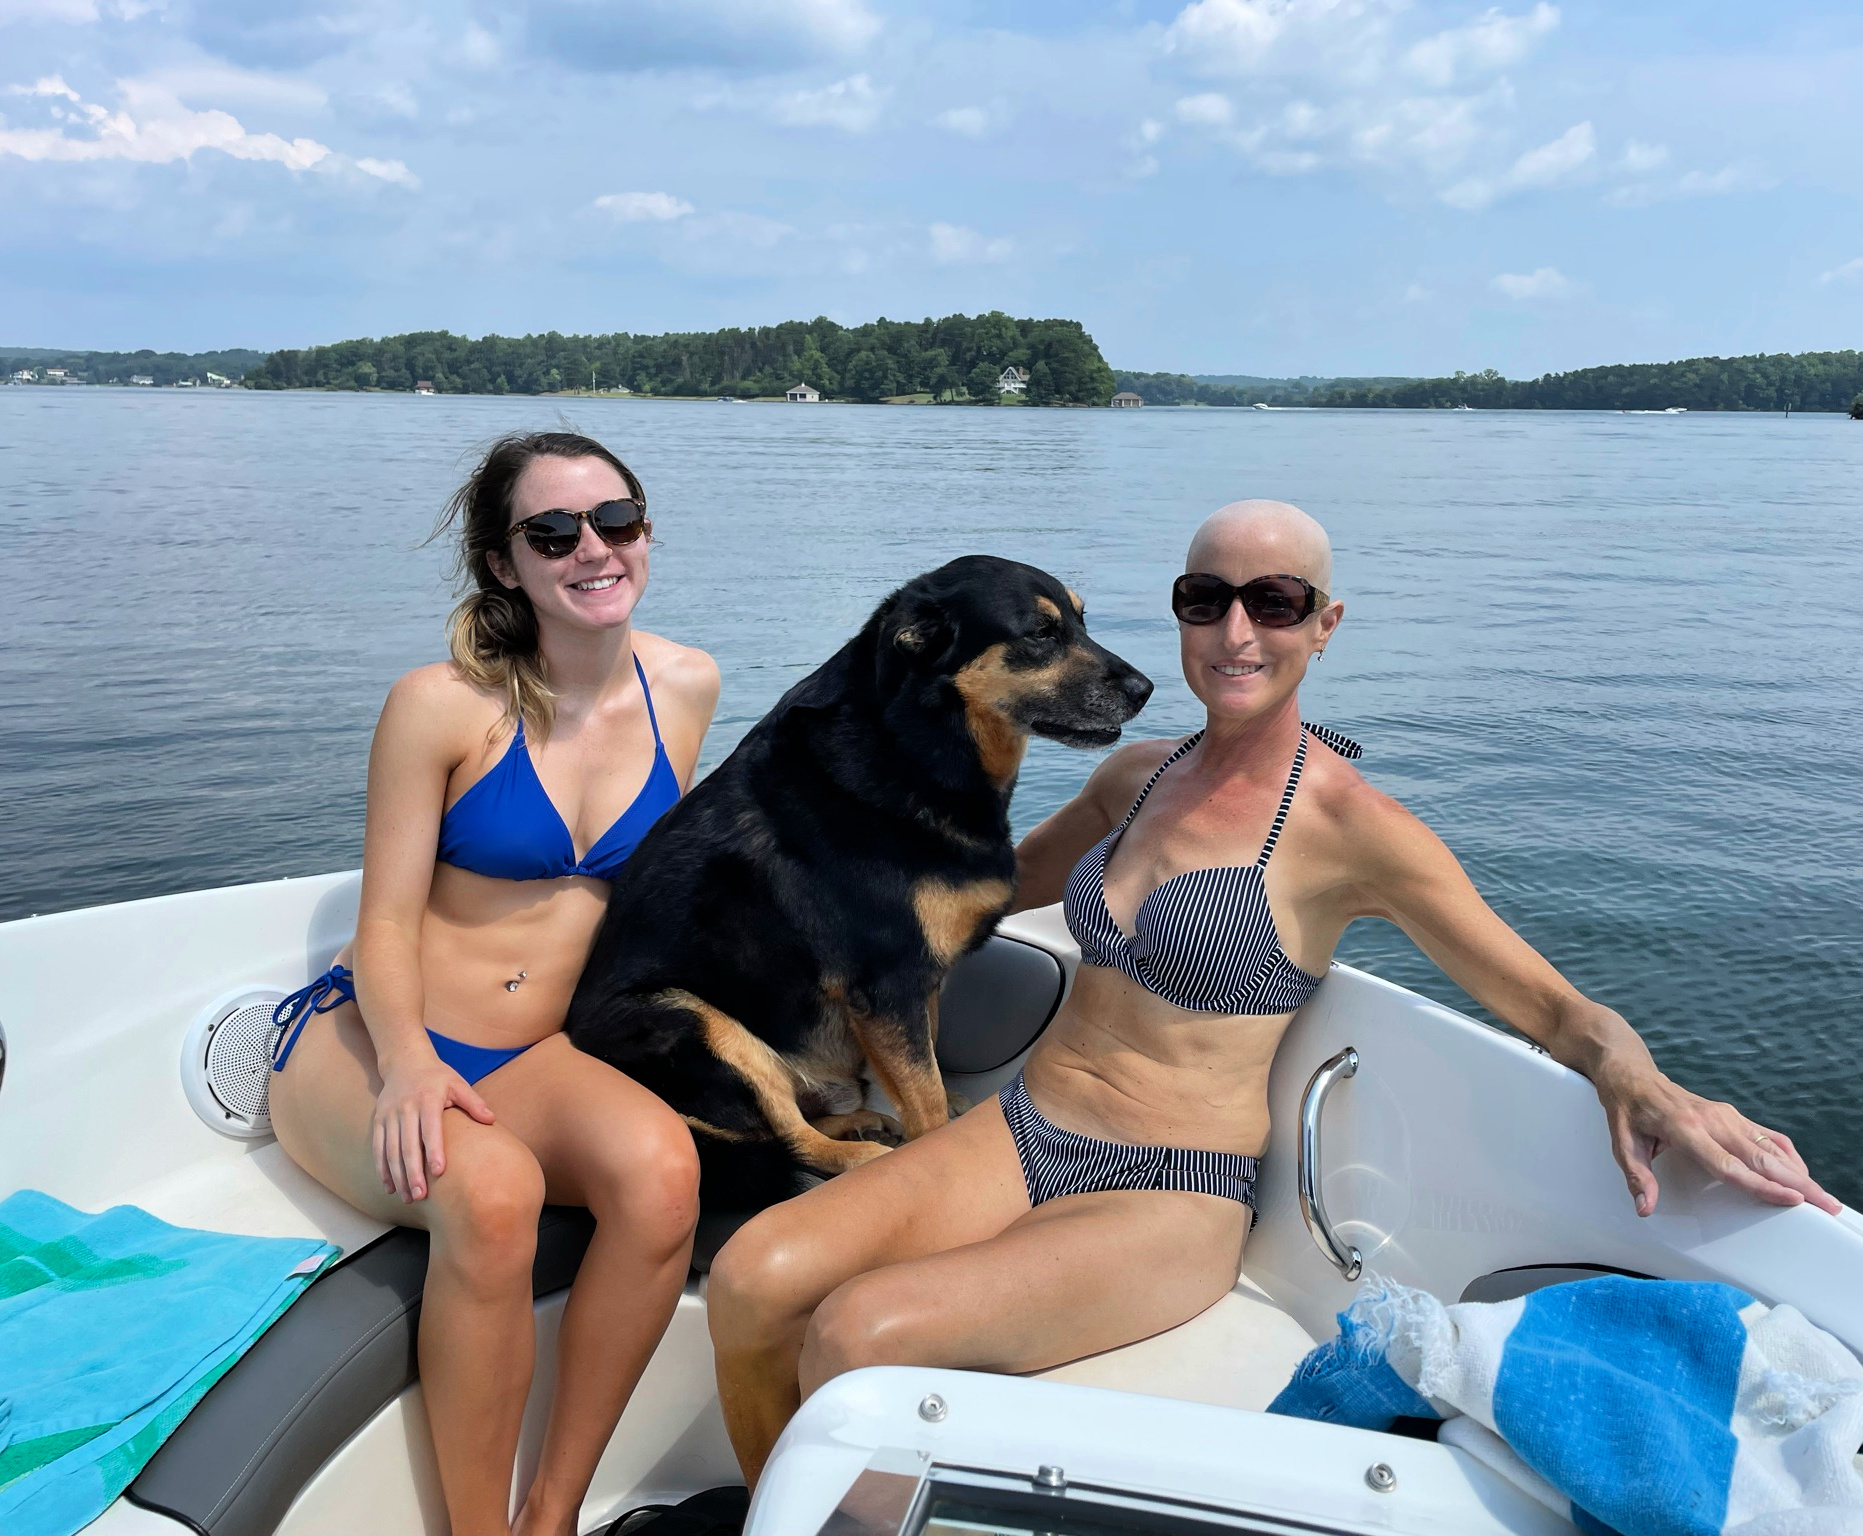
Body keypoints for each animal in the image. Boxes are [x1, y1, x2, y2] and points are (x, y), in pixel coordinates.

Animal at [562, 555, 1147, 1215]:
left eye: (1080, 620)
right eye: (1041, 633)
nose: (1145, 690)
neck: (913, 747)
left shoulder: (918, 984)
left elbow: (928, 1068)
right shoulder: (887, 985)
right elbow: (924, 1098)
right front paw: (931, 1150)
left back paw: (858, 1123)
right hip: (692, 1020)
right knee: (786, 1141)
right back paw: (860, 1157)